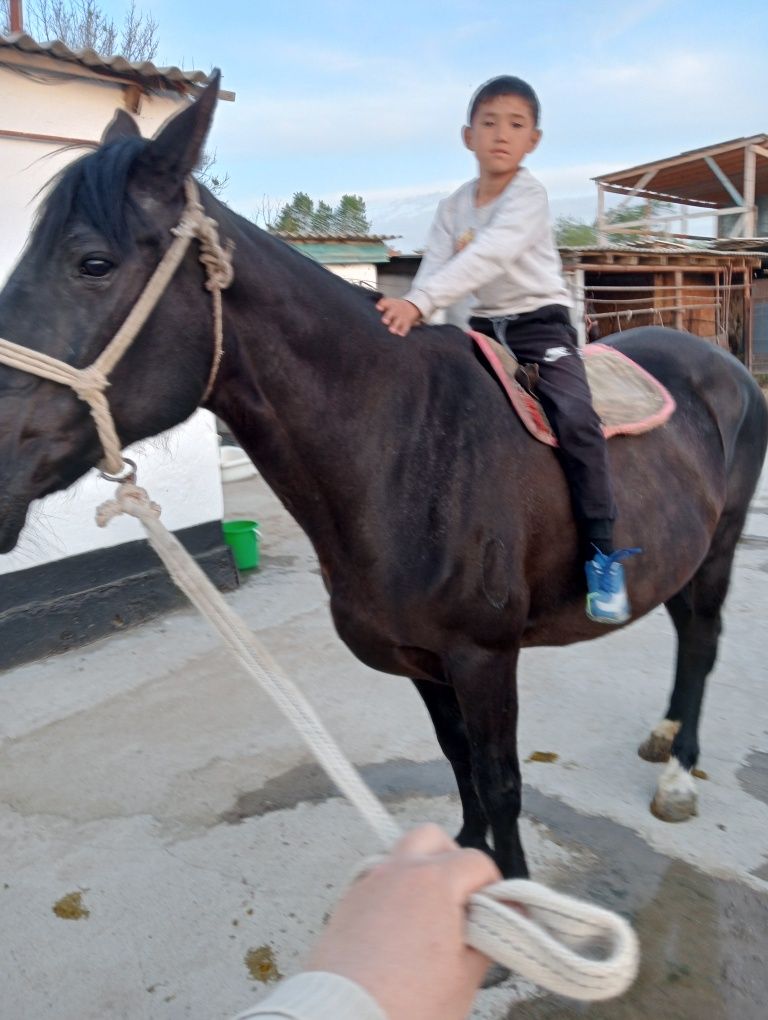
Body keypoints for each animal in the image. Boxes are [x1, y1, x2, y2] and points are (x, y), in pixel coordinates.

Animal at [0, 75, 762, 881]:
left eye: (93, 263)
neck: (404, 448)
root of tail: (723, 360)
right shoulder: (423, 659)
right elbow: (458, 763)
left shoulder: (483, 657)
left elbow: (501, 783)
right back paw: (664, 735)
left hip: (721, 544)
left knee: (703, 640)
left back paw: (678, 774)